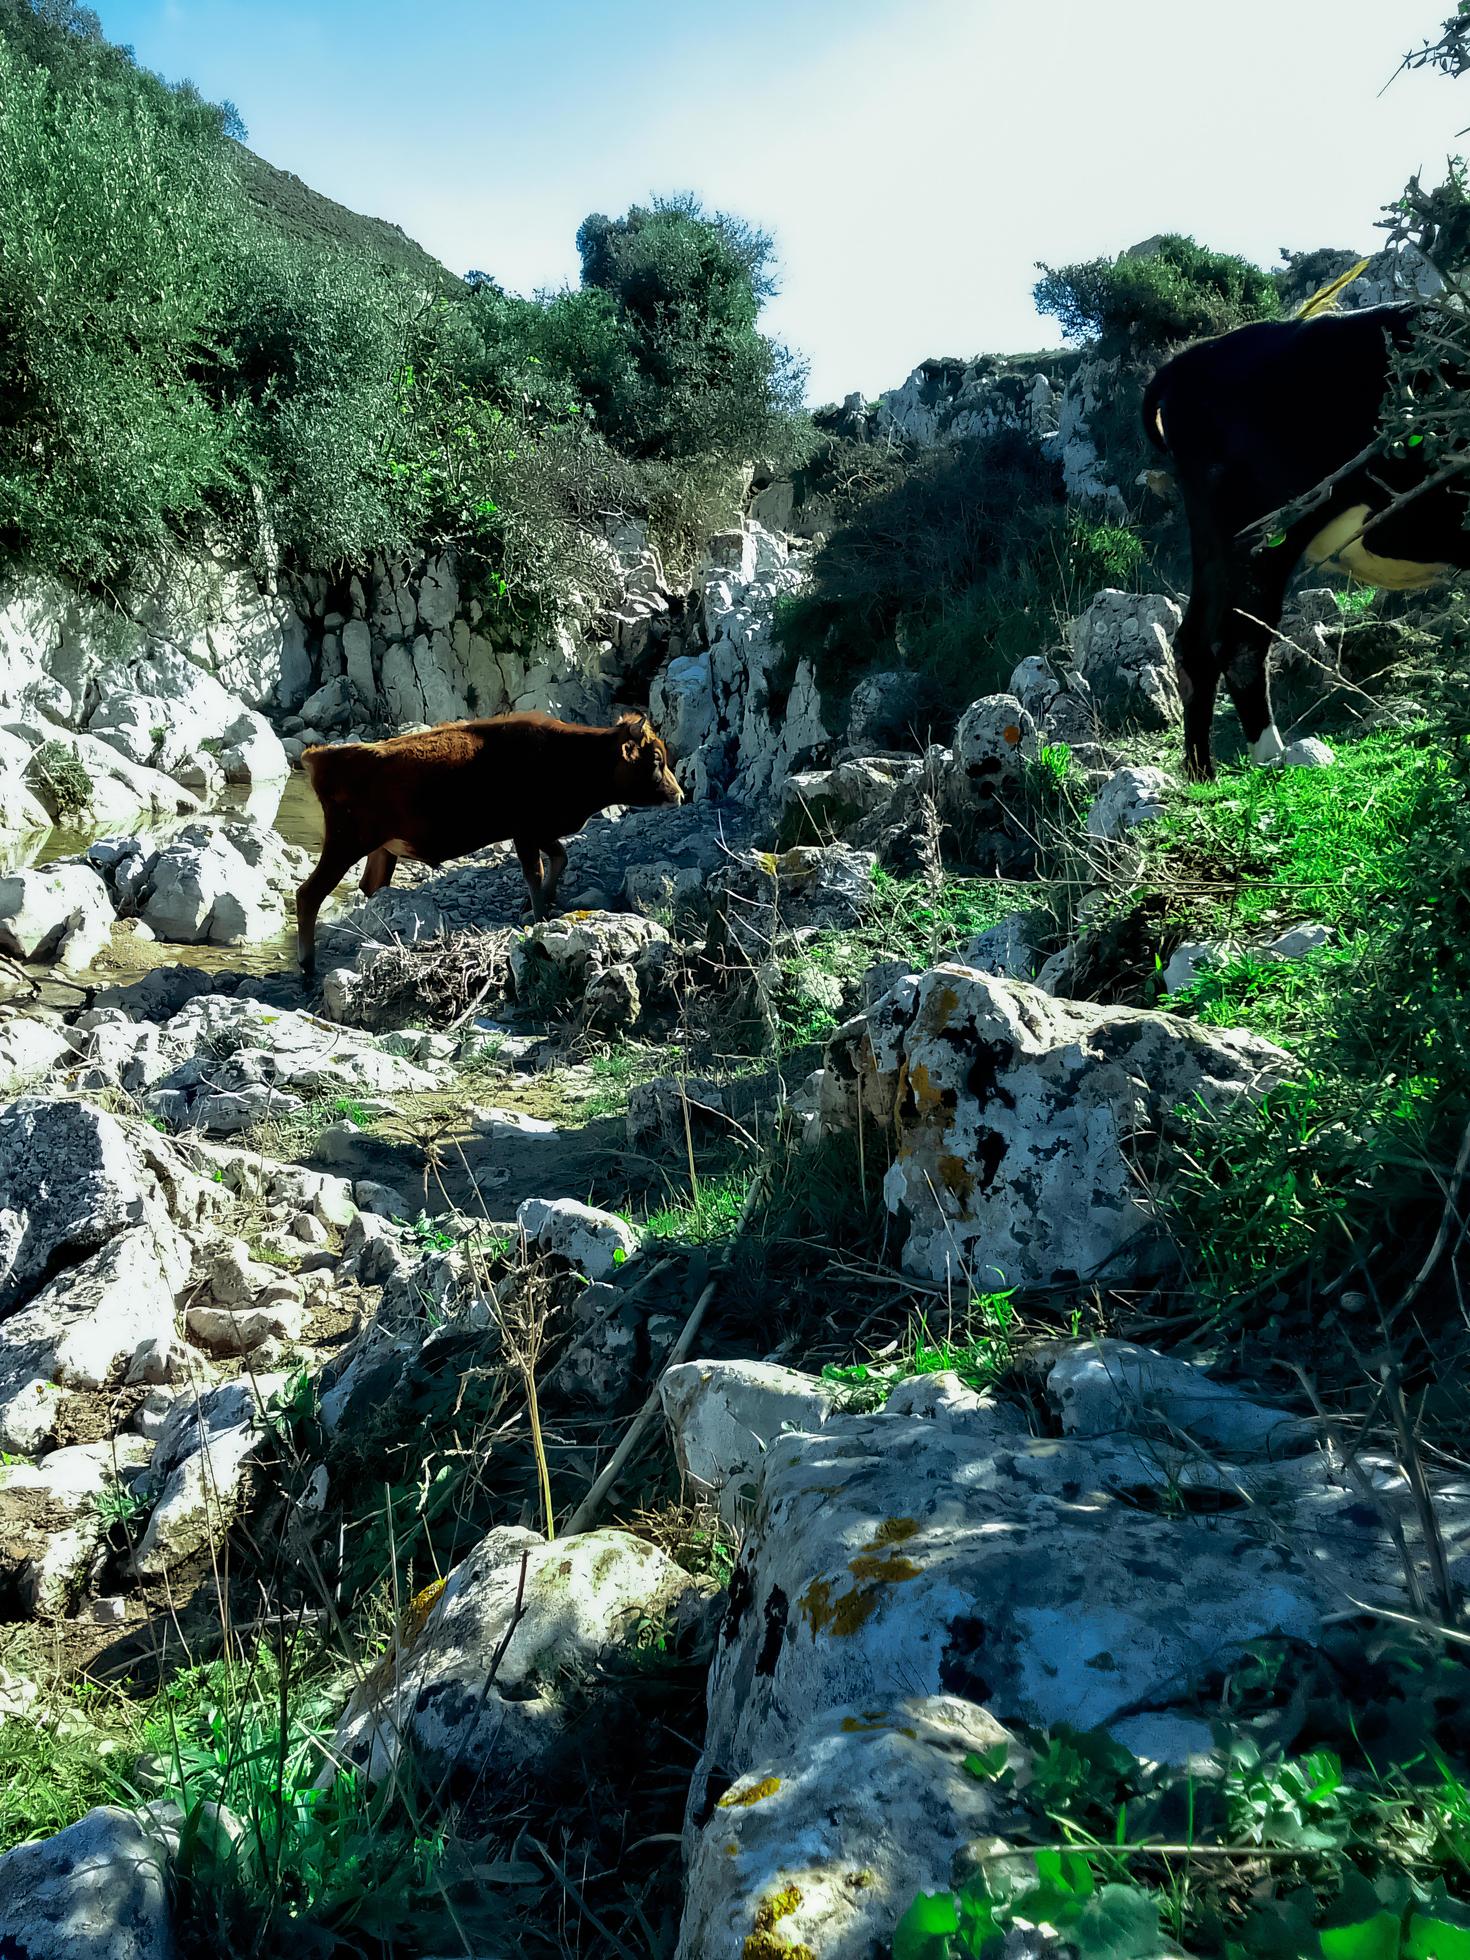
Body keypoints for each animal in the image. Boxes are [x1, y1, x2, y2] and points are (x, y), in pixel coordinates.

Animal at [303, 709, 689, 976]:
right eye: (656, 759)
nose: (680, 795)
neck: (568, 756)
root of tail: (322, 755)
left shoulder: (540, 831)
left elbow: (560, 858)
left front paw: (542, 902)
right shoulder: (526, 832)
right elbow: (535, 872)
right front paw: (538, 915)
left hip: (379, 850)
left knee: (370, 889)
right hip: (345, 843)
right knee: (309, 893)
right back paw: (307, 966)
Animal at [1152, 301, 1470, 776]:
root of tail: (1187, 361)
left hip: (1215, 542)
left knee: (1195, 643)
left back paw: (1201, 774)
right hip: (1268, 531)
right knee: (1240, 643)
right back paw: (1272, 757)